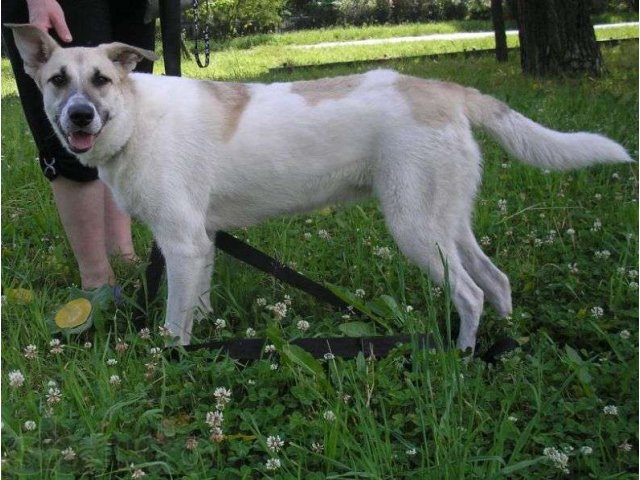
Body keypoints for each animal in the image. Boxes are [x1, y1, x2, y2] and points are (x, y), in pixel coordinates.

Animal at [10, 24, 636, 350]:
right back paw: (503, 345)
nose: (80, 117)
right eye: (58, 80)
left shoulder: (183, 244)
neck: (137, 119)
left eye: (101, 79)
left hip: (415, 229)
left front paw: (174, 363)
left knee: (470, 293)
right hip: (447, 222)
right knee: (496, 282)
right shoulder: (200, 243)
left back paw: (460, 356)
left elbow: (174, 327)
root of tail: (444, 88)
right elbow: (200, 305)